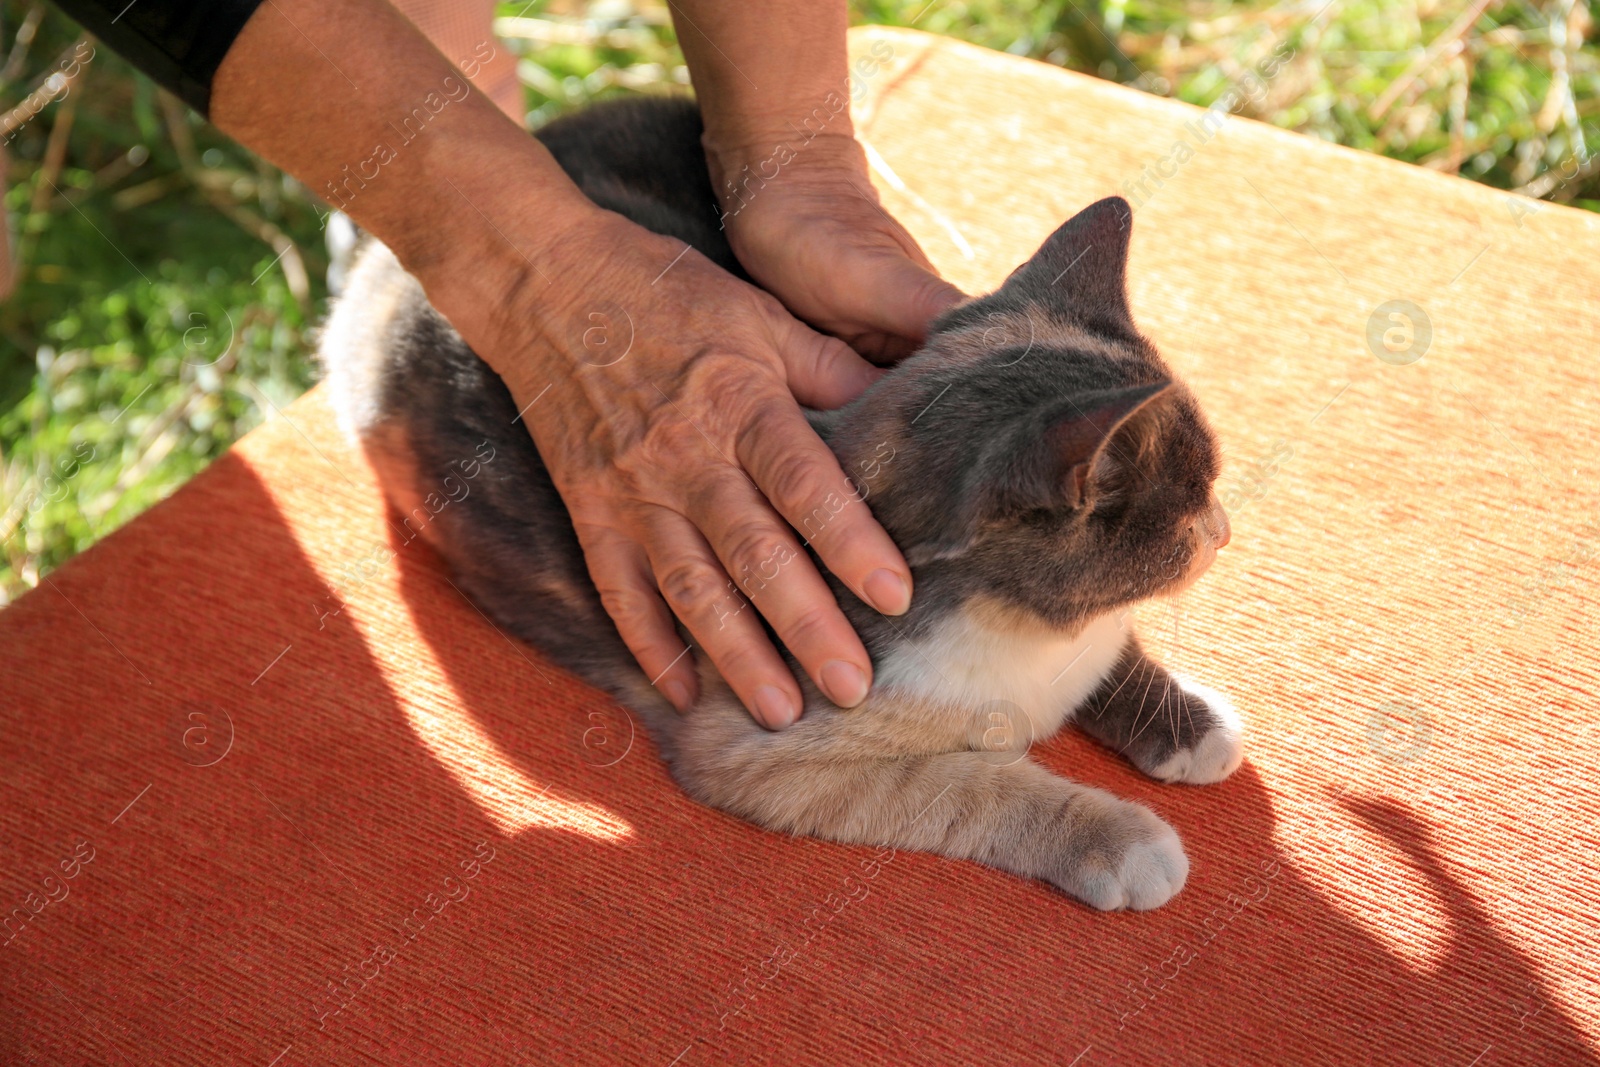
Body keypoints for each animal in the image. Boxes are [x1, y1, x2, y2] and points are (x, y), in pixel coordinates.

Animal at [318, 95, 1241, 908]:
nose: (1225, 530)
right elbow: (983, 788)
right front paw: (1122, 842)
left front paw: (1188, 726)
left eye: (1211, 483)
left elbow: (1116, 654)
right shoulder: (771, 753)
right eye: (1189, 505)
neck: (1028, 638)